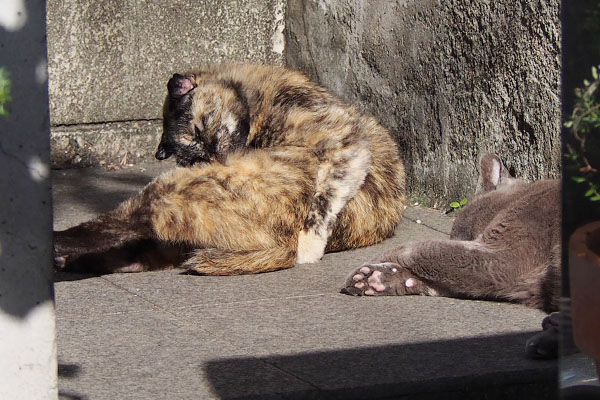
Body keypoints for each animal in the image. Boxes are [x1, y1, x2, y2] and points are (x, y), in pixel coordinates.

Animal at [54, 65, 408, 276]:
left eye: (201, 128)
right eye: (193, 156)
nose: (216, 158)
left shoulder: (342, 136)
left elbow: (326, 198)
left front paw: (311, 243)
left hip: (172, 192)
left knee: (123, 224)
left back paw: (60, 246)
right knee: (138, 247)